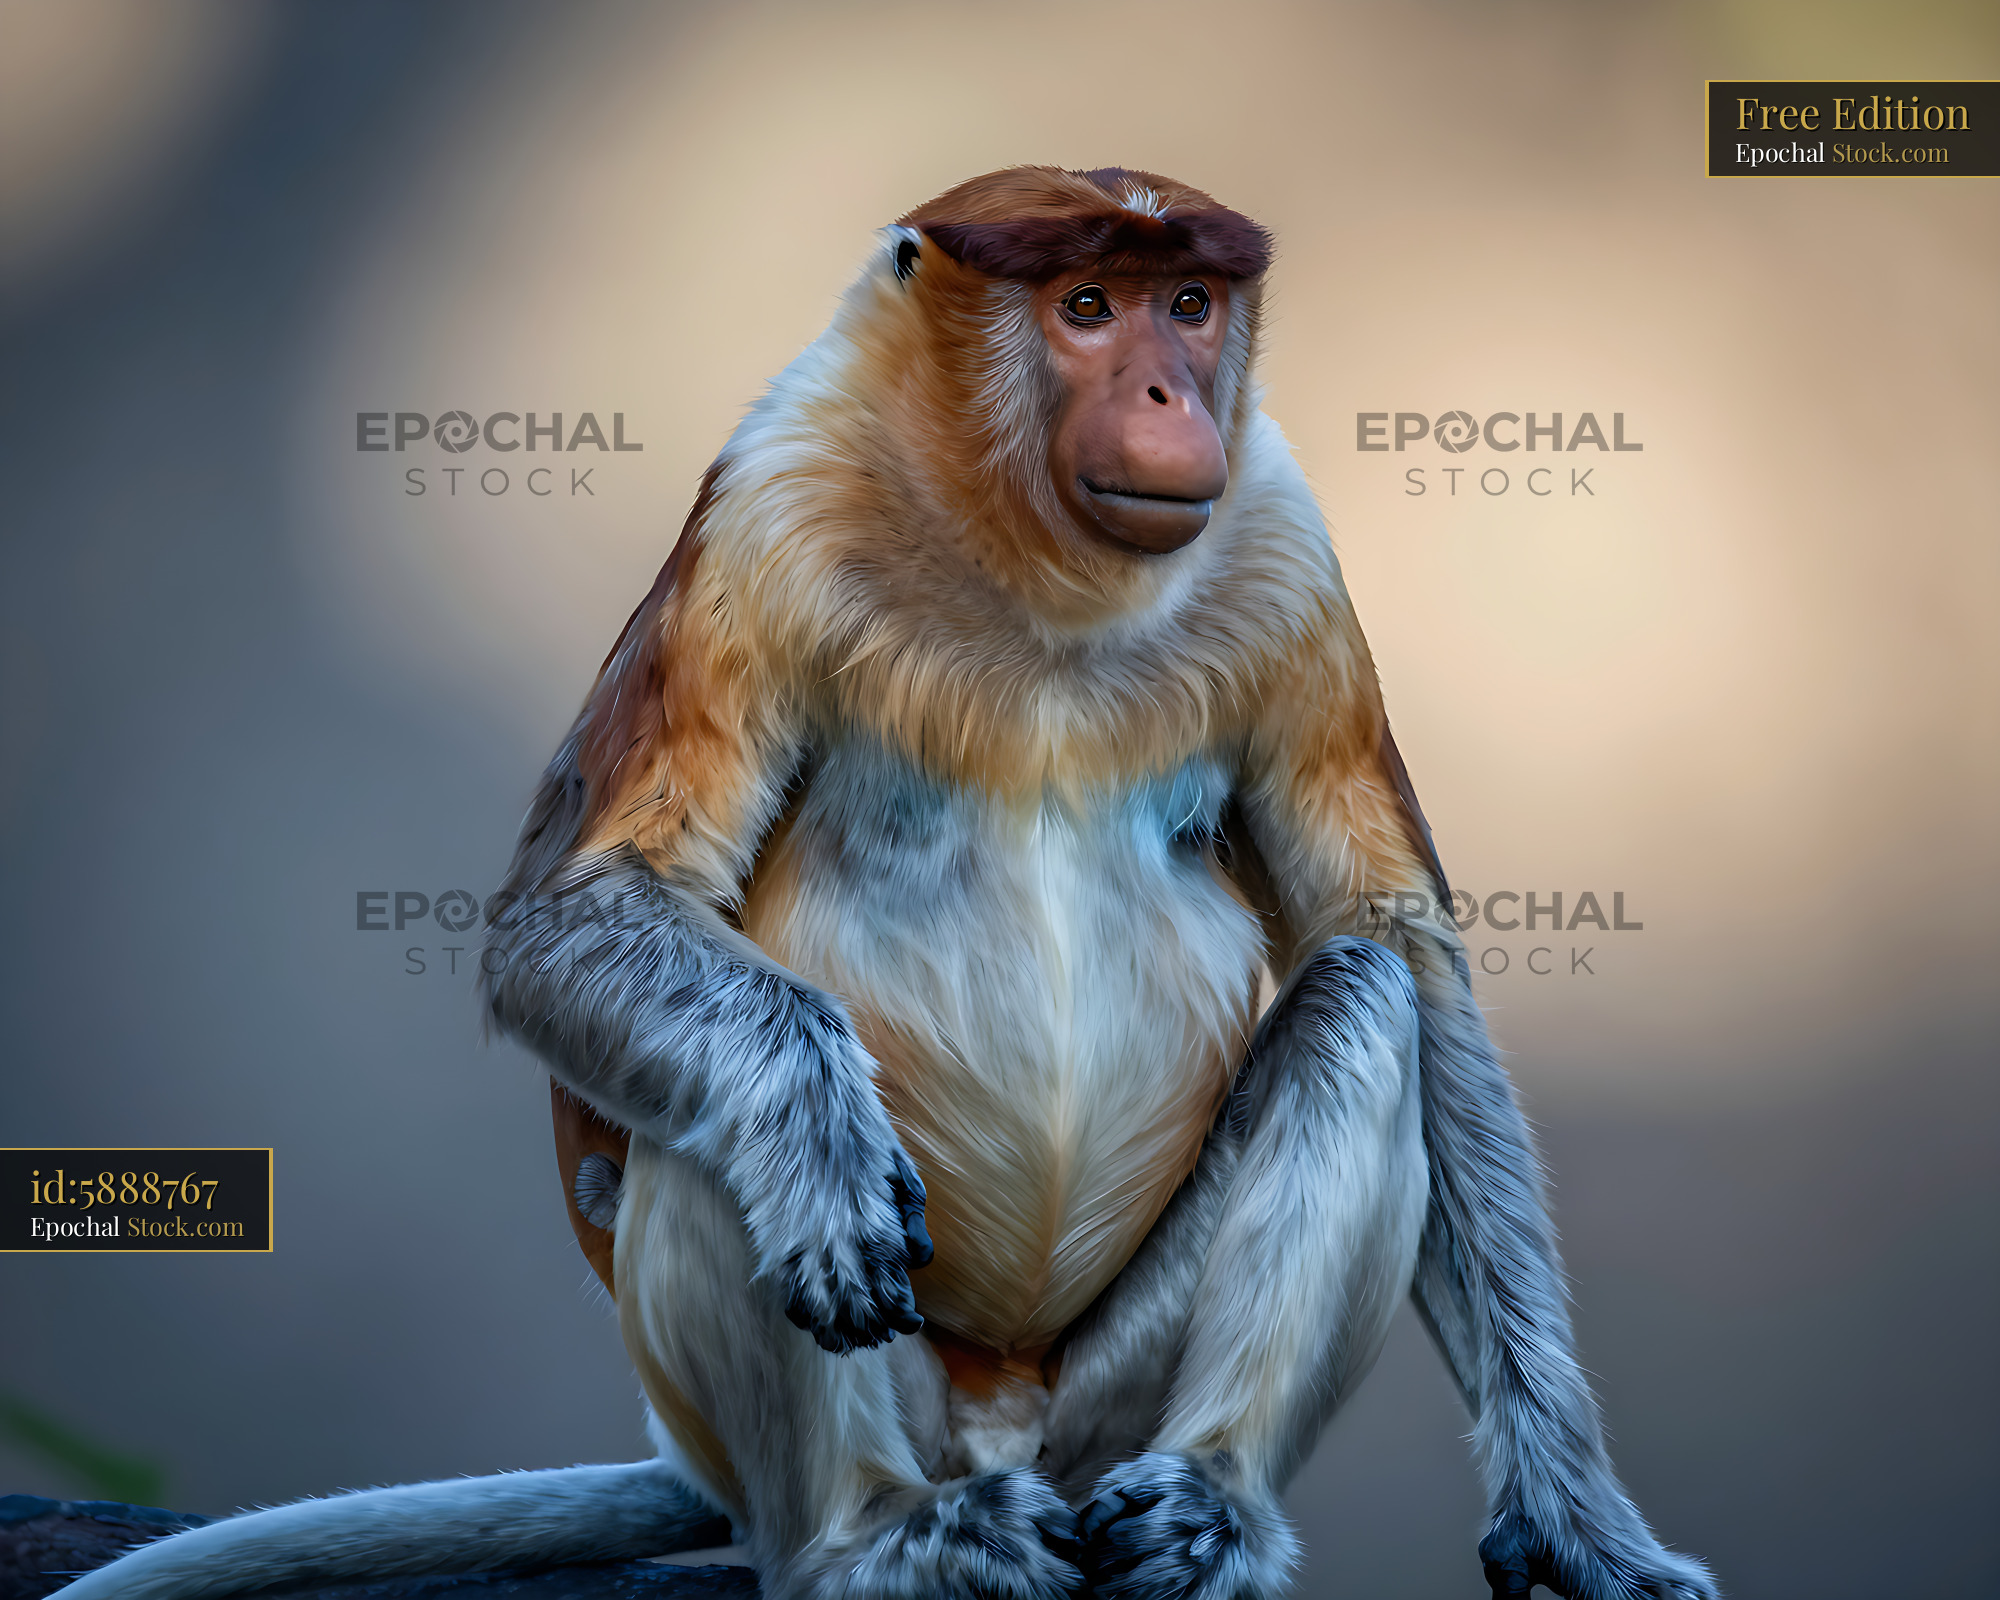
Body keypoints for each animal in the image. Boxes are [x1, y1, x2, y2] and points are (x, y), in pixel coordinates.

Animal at [61, 167, 1714, 1600]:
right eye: (1087, 307)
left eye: (1189, 302)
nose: (1174, 401)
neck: (1041, 571)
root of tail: (999, 1424)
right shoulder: (762, 519)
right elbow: (578, 920)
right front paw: (813, 1139)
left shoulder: (1290, 558)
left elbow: (1398, 947)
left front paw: (1585, 1529)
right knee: (712, 1125)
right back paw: (882, 1533)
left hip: (1100, 1394)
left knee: (1365, 1007)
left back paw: (1205, 1506)